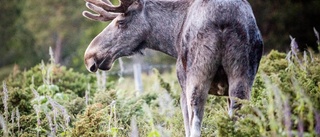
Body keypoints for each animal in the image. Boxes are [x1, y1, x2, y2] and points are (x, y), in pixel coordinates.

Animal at [82, 0, 262, 135]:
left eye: (120, 22)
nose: (89, 56)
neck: (172, 37)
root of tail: (225, 19)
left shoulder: (182, 87)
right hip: (241, 79)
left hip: (196, 78)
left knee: (195, 125)